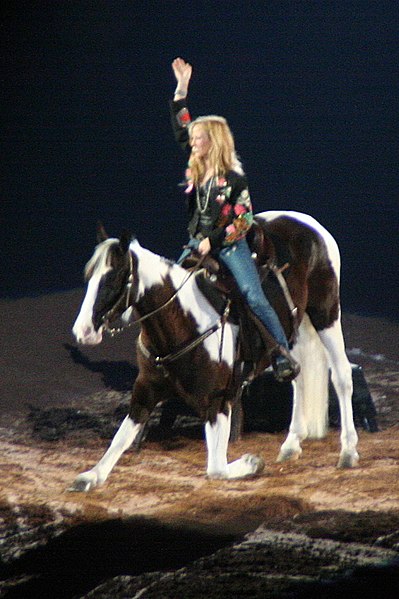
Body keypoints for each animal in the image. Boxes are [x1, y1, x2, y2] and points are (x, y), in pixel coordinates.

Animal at [69, 211, 360, 492]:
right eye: (89, 277)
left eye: (113, 278)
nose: (83, 330)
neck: (183, 322)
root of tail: (307, 222)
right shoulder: (145, 391)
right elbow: (120, 439)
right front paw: (90, 476)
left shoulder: (218, 401)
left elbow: (217, 468)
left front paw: (252, 462)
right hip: (294, 330)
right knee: (298, 378)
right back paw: (291, 445)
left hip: (326, 313)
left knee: (341, 376)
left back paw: (347, 452)